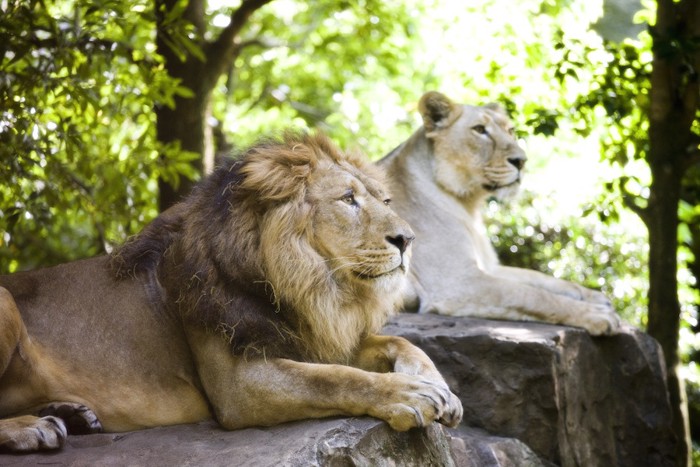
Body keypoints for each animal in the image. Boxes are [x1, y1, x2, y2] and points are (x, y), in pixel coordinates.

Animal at [0, 133, 462, 454]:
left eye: (385, 200)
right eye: (348, 199)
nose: (408, 239)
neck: (306, 286)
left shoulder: (310, 337)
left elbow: (397, 342)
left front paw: (440, 387)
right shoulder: (238, 385)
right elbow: (336, 379)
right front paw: (410, 395)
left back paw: (70, 414)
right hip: (5, 302)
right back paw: (35, 427)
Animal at [380, 91, 620, 334]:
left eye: (510, 130)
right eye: (479, 130)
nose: (521, 161)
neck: (468, 204)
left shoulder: (488, 266)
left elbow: (540, 278)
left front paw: (595, 297)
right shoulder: (458, 281)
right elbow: (533, 295)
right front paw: (597, 315)